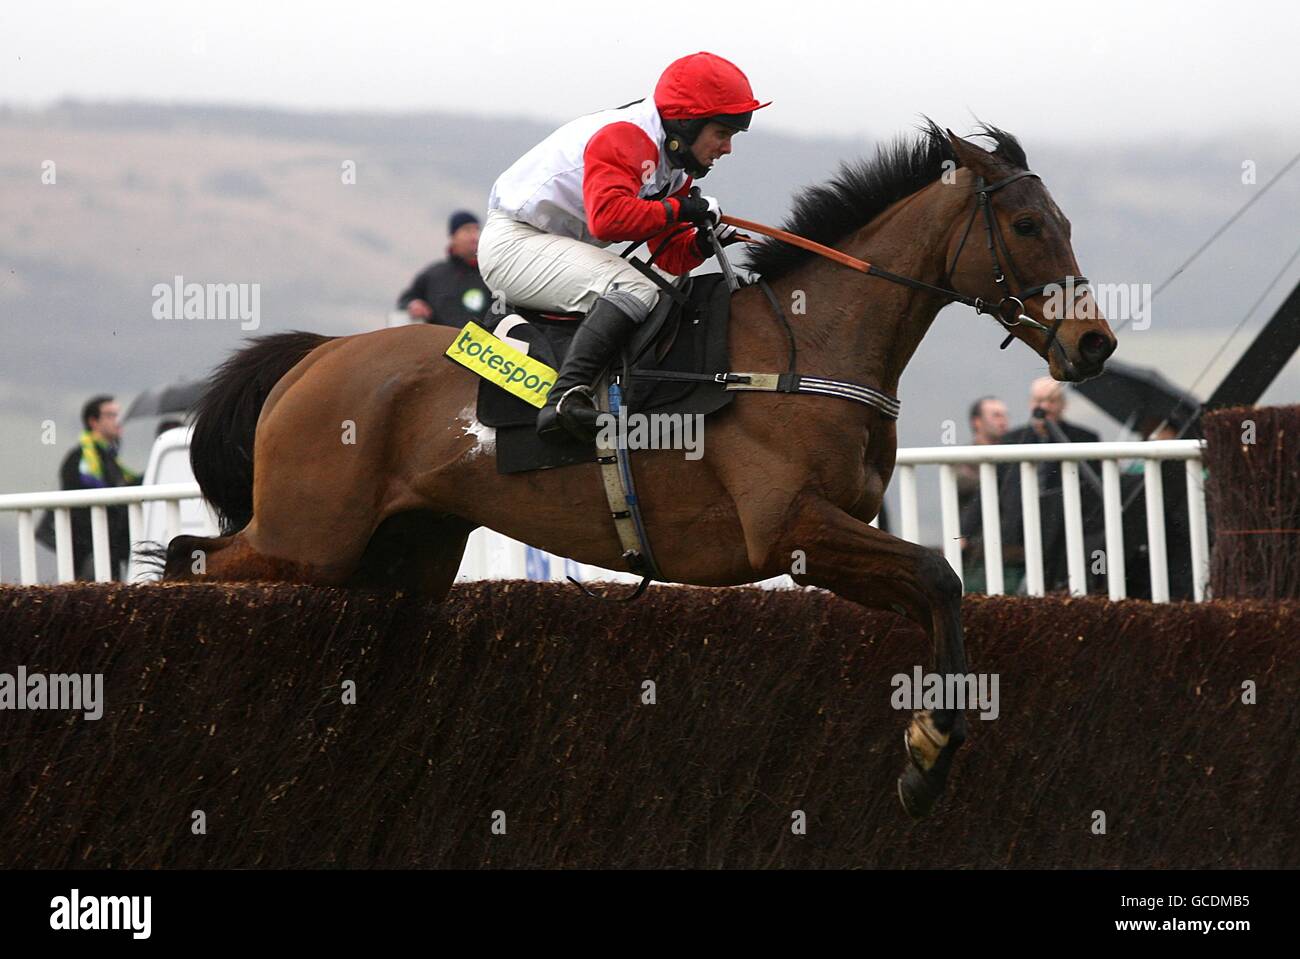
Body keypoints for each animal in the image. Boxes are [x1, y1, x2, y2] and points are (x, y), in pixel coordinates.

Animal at [159, 121, 1118, 816]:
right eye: (1028, 225)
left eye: (1070, 224)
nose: (1094, 343)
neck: (805, 346)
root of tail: (315, 357)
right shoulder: (792, 527)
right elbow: (941, 574)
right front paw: (929, 749)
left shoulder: (832, 546)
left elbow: (937, 592)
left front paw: (927, 749)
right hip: (308, 536)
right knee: (188, 559)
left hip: (400, 555)